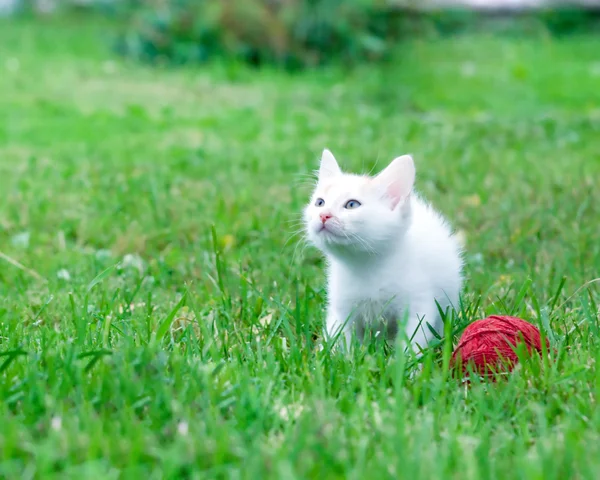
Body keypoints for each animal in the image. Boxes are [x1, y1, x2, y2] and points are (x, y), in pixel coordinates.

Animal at [304, 148, 464, 350]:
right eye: (320, 202)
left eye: (352, 204)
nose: (324, 215)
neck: (365, 266)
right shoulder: (341, 307)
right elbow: (341, 337)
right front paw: (338, 355)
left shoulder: (419, 303)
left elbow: (414, 338)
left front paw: (408, 359)